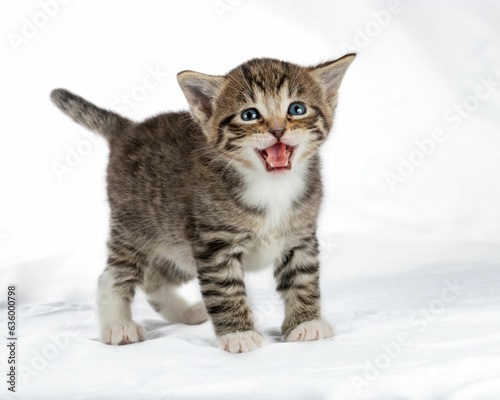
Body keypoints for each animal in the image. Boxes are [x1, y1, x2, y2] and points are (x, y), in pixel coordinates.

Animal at [50, 53, 356, 354]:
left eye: (297, 109)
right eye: (249, 115)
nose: (278, 130)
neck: (271, 186)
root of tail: (130, 128)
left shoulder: (300, 237)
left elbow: (302, 279)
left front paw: (306, 323)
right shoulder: (214, 244)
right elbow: (225, 289)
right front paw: (239, 334)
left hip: (177, 249)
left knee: (153, 278)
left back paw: (184, 313)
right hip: (134, 228)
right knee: (114, 274)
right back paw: (117, 325)